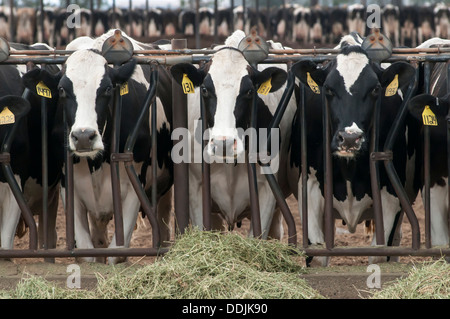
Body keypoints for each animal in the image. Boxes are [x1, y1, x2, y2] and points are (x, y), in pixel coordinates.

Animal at [52, 30, 172, 264]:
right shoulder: (68, 186)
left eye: (107, 88)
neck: (97, 163)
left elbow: (117, 252)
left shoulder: (134, 186)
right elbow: (87, 252)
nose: (83, 137)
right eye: (62, 89)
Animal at [288, 34, 414, 268]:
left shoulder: (392, 194)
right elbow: (318, 255)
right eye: (328, 89)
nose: (349, 138)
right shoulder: (309, 186)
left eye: (375, 89)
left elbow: (380, 254)